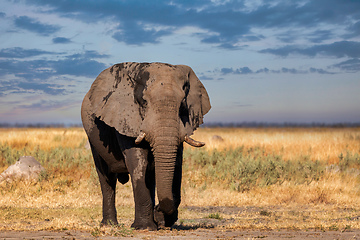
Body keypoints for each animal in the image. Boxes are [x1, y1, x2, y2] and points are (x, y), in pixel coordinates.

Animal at [81, 62, 211, 231]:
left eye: (183, 104)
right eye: (144, 102)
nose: (158, 209)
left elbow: (177, 166)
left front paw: (161, 221)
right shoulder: (126, 118)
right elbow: (138, 163)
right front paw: (145, 227)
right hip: (92, 134)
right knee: (106, 177)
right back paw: (109, 225)